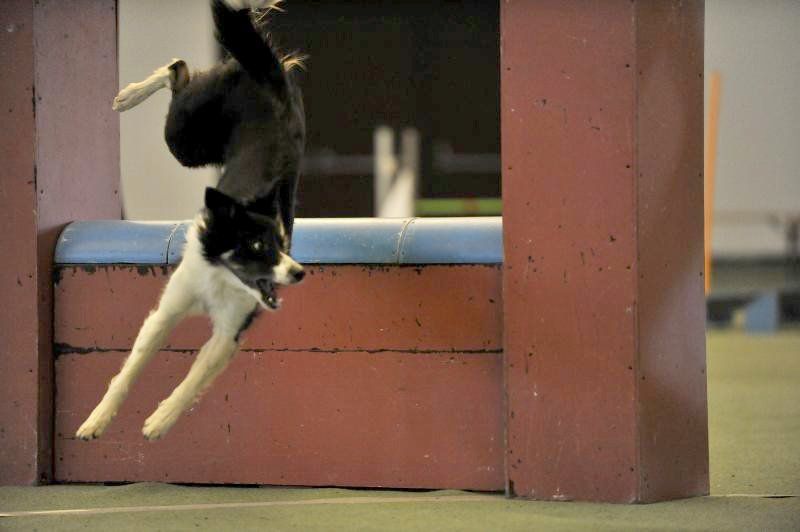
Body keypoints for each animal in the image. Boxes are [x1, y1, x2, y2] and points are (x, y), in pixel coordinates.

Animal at [76, 0, 306, 441]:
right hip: (186, 139)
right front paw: (97, 419)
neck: (222, 276)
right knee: (178, 72)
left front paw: (160, 420)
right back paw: (128, 96)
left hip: (195, 142)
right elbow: (131, 367)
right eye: (256, 245)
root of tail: (264, 75)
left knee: (182, 70)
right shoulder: (170, 307)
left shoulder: (230, 329)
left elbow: (193, 378)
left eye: (282, 242)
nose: (299, 273)